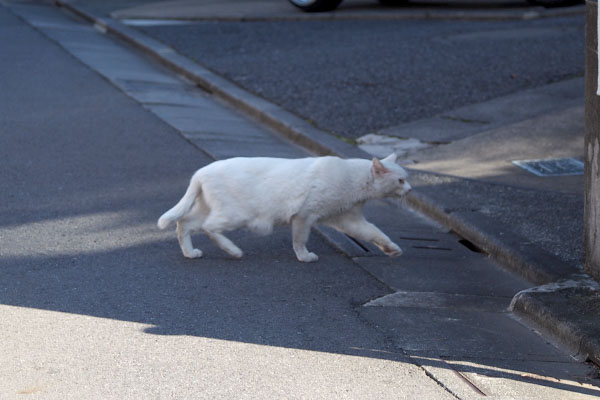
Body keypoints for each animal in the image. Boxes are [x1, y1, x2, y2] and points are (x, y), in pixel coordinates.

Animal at [157, 153, 410, 262]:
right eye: (400, 180)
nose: (409, 190)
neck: (354, 181)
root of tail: (200, 172)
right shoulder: (304, 215)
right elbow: (299, 239)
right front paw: (304, 257)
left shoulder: (349, 219)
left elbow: (375, 233)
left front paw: (393, 249)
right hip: (236, 214)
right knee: (209, 228)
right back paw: (233, 250)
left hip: (208, 209)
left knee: (184, 223)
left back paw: (190, 253)